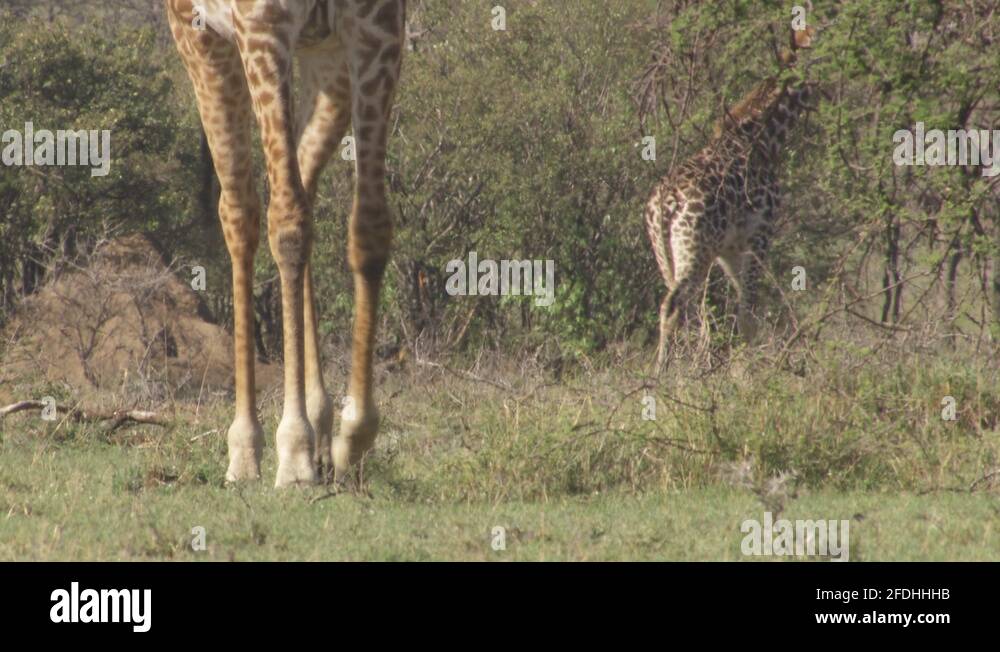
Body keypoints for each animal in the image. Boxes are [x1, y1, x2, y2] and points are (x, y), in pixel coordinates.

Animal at [166, 0, 405, 487]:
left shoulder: (379, 28)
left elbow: (370, 225)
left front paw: (355, 436)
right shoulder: (260, 28)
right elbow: (287, 222)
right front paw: (294, 453)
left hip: (325, 57)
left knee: (300, 179)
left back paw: (322, 429)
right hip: (203, 40)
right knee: (243, 210)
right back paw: (246, 449)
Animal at [644, 26, 818, 369]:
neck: (762, 140)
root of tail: (664, 203)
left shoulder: (728, 251)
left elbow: (736, 311)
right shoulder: (759, 235)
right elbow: (748, 313)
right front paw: (747, 371)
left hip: (668, 254)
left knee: (675, 304)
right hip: (695, 253)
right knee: (674, 306)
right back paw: (662, 373)